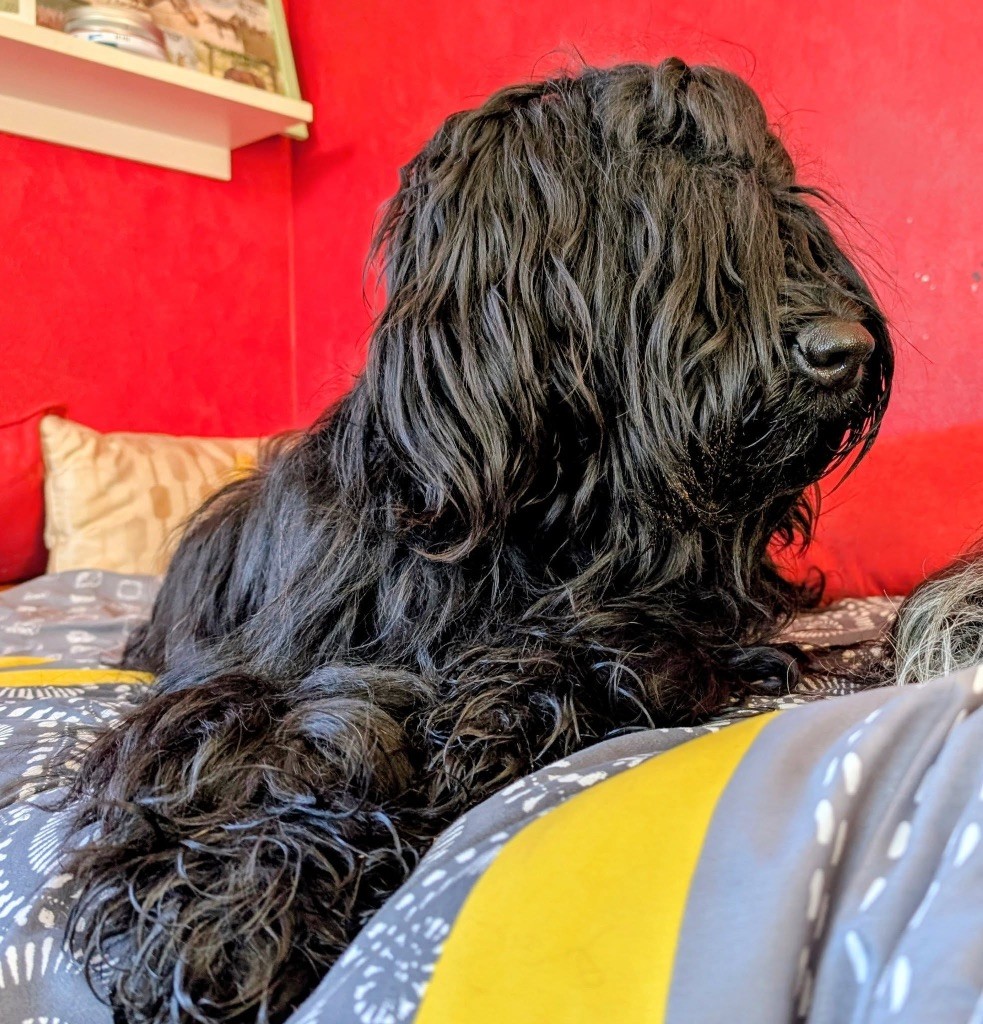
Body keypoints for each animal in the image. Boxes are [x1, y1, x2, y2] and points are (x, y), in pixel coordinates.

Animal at [59, 59, 893, 1023]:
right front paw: (236, 911)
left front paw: (485, 718)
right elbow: (282, 741)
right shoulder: (246, 677)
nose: (846, 345)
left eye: (779, 199)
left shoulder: (690, 631)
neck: (546, 521)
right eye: (665, 208)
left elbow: (608, 656)